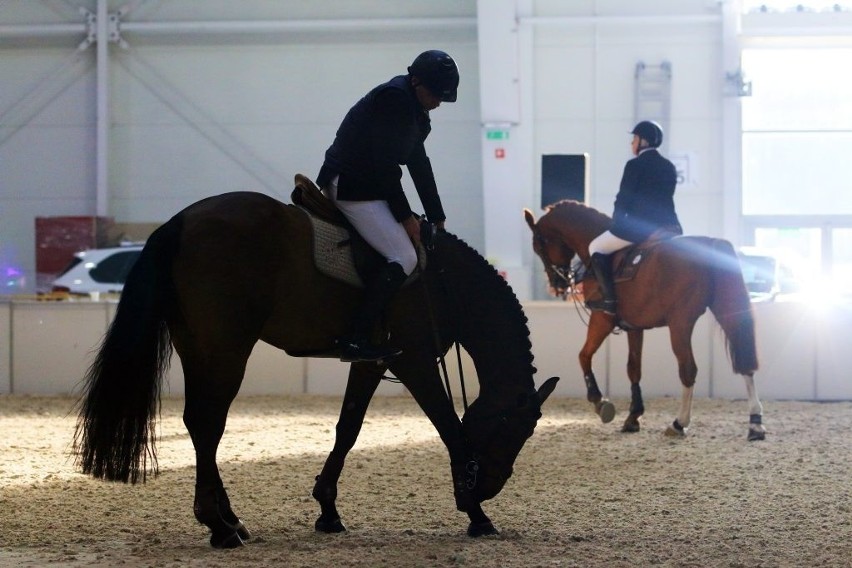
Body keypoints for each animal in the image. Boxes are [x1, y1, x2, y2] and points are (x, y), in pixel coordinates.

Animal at [73, 191, 560, 544]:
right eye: (514, 429)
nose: (488, 486)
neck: (447, 283)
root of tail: (181, 221)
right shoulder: (417, 362)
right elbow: (449, 428)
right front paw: (476, 513)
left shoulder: (372, 361)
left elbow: (349, 429)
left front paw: (327, 510)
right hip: (226, 348)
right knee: (209, 424)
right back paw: (220, 527)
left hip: (200, 347)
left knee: (199, 424)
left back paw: (230, 521)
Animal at [524, 202, 768, 442]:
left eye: (538, 246)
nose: (557, 285)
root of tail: (711, 243)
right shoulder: (635, 327)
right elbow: (634, 368)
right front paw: (633, 416)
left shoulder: (602, 318)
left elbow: (584, 356)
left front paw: (600, 402)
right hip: (725, 309)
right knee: (745, 362)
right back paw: (755, 424)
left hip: (680, 322)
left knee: (688, 369)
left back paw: (679, 423)